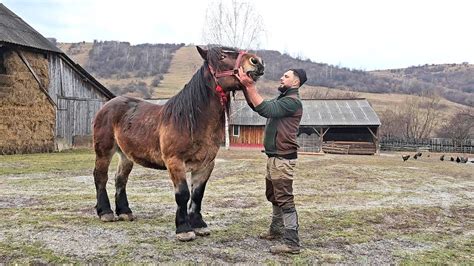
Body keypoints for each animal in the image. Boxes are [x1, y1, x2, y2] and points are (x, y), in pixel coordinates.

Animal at [92, 45, 262, 241]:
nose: (256, 61)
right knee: (100, 177)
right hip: (104, 151)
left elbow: (197, 195)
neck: (191, 120)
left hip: (126, 155)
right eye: (222, 56)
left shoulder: (206, 165)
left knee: (120, 179)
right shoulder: (175, 162)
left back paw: (125, 212)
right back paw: (105, 212)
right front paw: (184, 229)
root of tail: (107, 105)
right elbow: (183, 194)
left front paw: (199, 225)